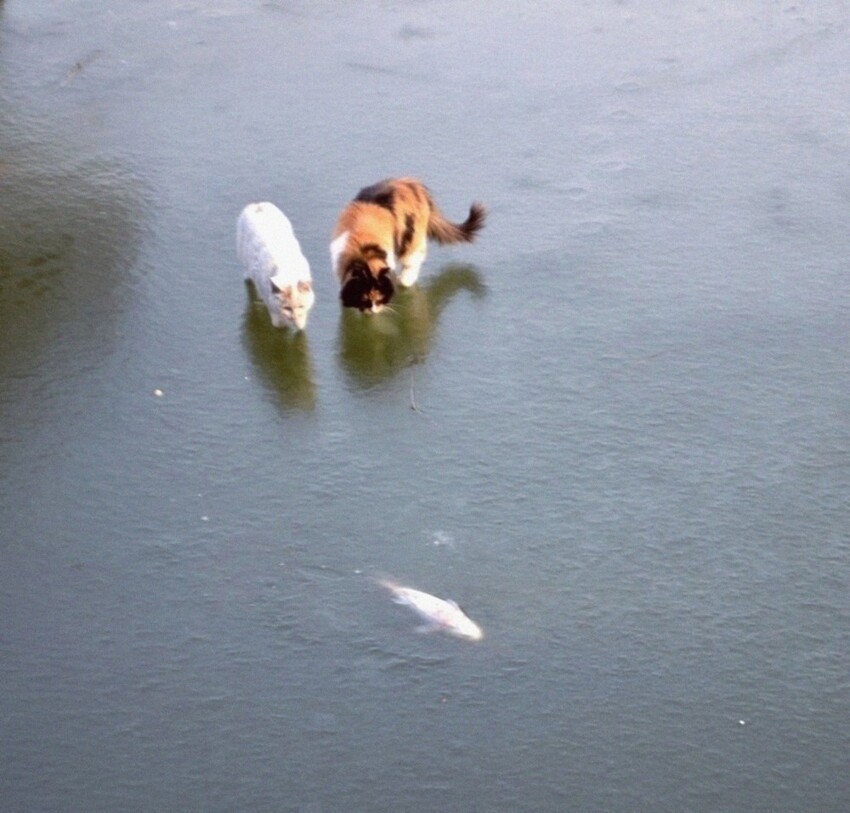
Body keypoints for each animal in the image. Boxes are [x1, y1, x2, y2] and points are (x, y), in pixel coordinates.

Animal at [235, 202, 314, 330]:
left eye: (301, 306)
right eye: (287, 308)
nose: (295, 319)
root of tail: (257, 204)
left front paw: (300, 325)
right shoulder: (271, 305)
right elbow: (278, 323)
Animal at [328, 176, 484, 312]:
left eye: (379, 298)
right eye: (363, 297)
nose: (372, 309)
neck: (364, 249)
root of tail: (415, 184)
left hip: (411, 237)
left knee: (414, 259)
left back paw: (405, 280)